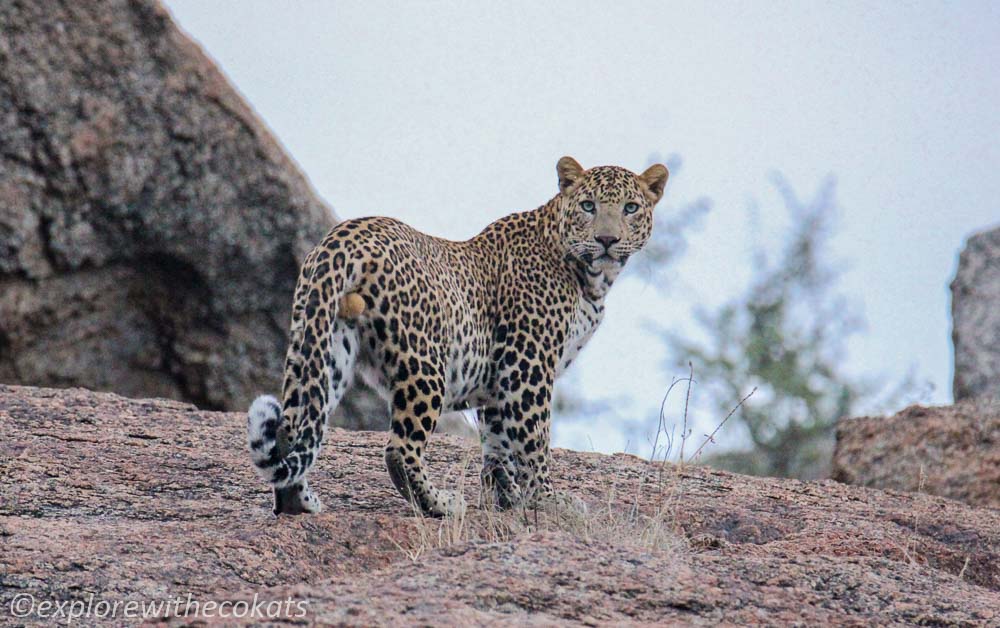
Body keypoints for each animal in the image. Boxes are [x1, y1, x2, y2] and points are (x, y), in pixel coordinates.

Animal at [248, 156, 672, 516]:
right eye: (587, 205)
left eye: (630, 208)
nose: (606, 240)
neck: (592, 278)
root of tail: (343, 236)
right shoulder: (527, 364)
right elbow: (533, 439)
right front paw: (549, 501)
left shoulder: (500, 376)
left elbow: (497, 440)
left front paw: (506, 497)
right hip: (424, 362)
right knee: (399, 448)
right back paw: (442, 504)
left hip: (323, 344)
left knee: (293, 426)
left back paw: (297, 503)